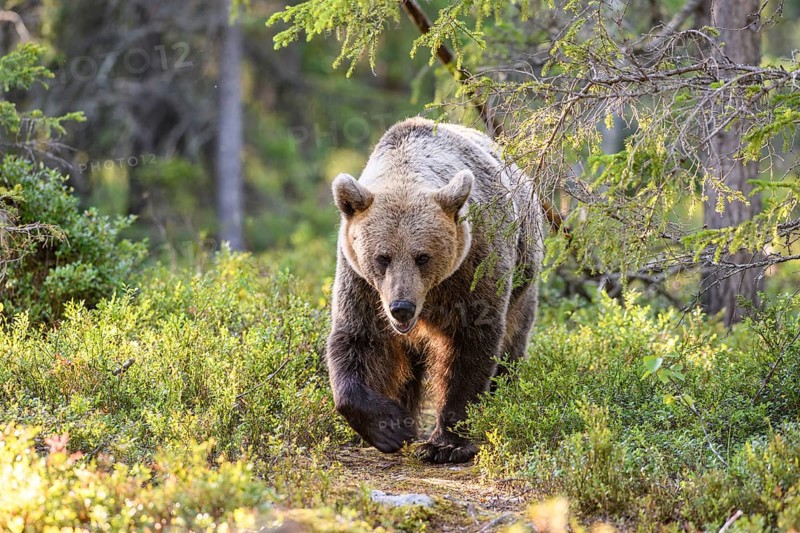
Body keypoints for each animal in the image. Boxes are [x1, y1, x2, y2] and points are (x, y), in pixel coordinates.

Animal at [326, 117, 544, 464]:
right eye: (382, 257)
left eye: (422, 256)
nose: (401, 307)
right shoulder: (360, 282)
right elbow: (358, 340)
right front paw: (391, 426)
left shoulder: (474, 268)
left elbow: (470, 345)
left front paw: (445, 444)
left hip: (524, 279)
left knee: (513, 340)